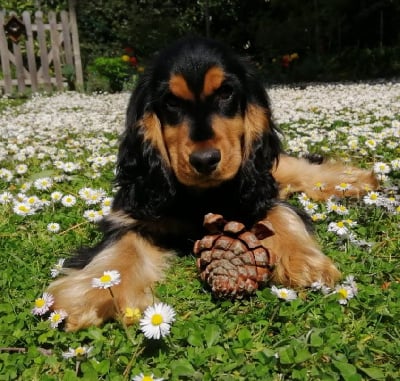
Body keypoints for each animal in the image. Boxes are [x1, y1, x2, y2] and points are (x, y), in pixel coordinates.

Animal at [47, 37, 378, 332]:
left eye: (226, 93)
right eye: (170, 101)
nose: (205, 160)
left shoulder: (260, 193)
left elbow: (283, 214)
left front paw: (305, 263)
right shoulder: (132, 215)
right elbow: (120, 251)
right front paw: (89, 296)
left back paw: (357, 180)